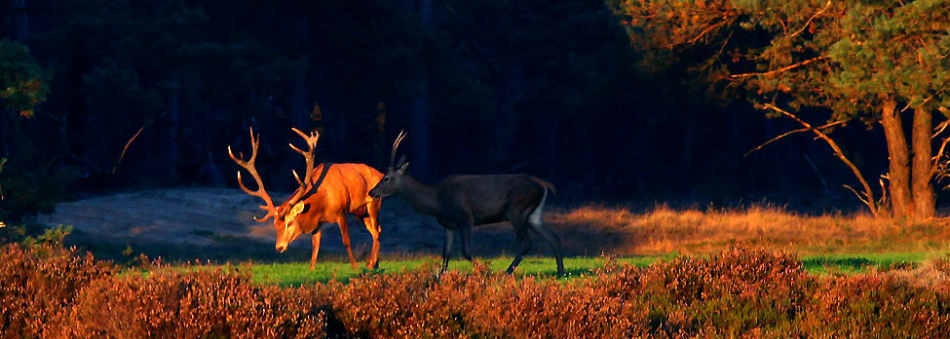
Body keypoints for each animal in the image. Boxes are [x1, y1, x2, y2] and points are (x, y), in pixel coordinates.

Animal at [229, 127, 384, 270]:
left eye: (289, 223)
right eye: (275, 225)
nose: (279, 247)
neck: (322, 202)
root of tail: (381, 174)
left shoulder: (341, 212)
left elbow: (346, 241)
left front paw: (354, 267)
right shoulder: (318, 221)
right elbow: (315, 246)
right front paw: (311, 269)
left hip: (374, 203)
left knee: (377, 231)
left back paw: (371, 264)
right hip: (361, 212)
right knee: (376, 231)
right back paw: (374, 263)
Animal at [370, 131, 564, 278]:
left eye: (386, 178)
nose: (372, 192)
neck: (437, 201)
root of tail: (544, 185)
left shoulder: (465, 218)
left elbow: (466, 251)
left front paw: (485, 270)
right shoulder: (449, 225)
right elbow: (445, 253)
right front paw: (440, 277)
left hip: (517, 210)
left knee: (526, 243)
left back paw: (507, 271)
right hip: (533, 215)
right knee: (553, 237)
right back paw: (561, 272)